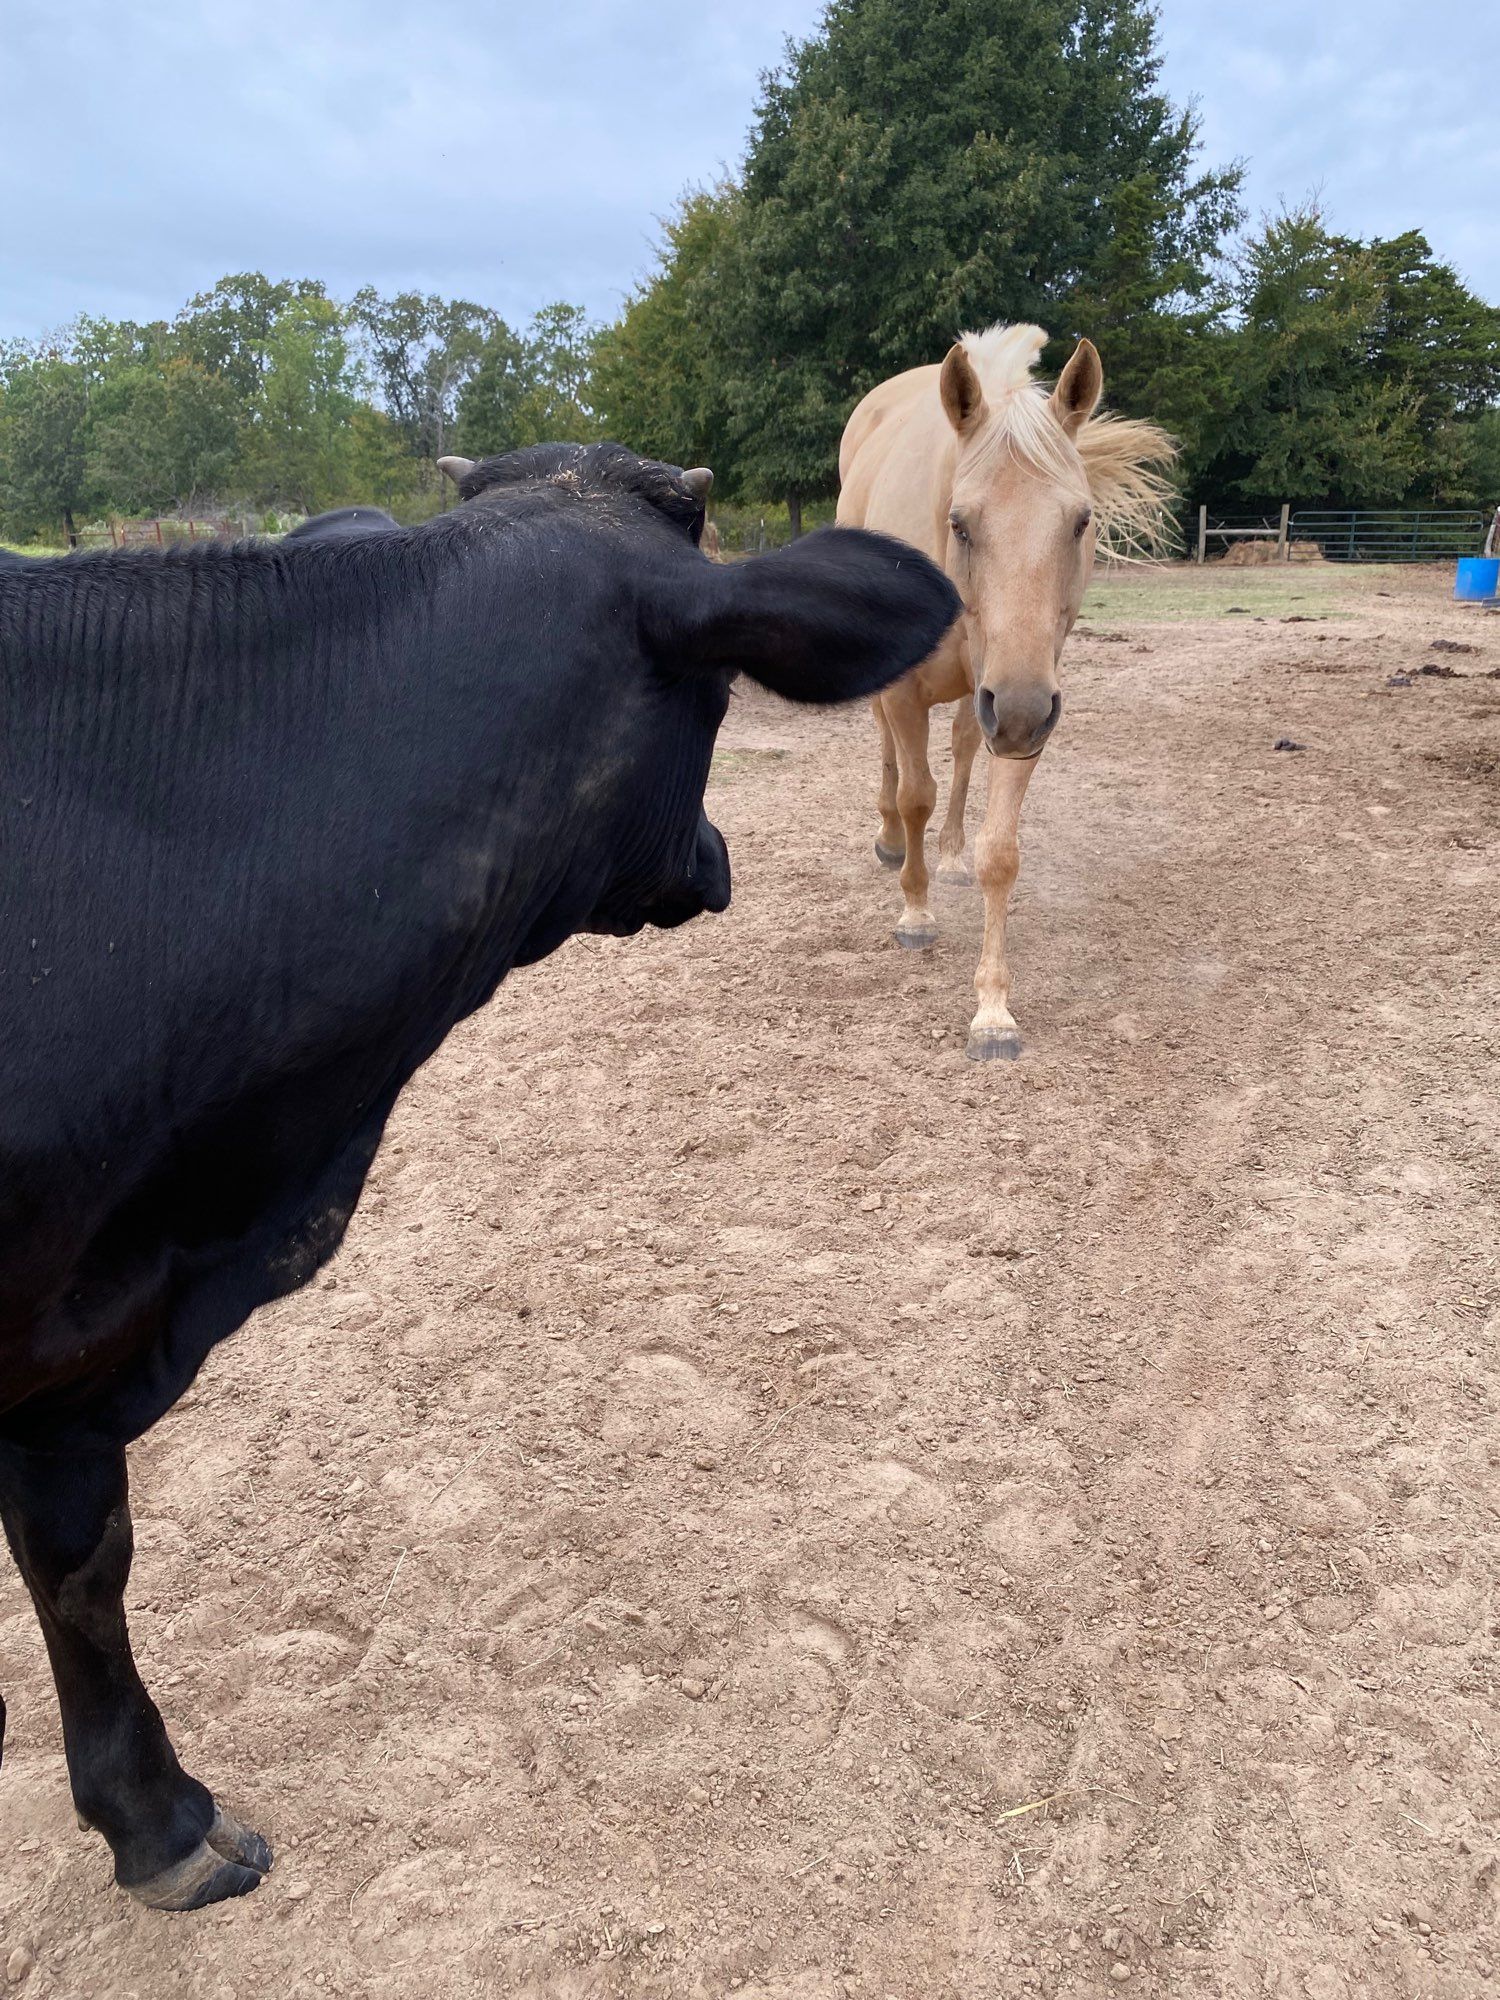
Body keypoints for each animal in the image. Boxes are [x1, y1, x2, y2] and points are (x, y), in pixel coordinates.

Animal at [840, 320, 1184, 1056]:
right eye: (959, 522)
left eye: (1081, 521)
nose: (1022, 710)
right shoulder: (912, 693)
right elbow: (914, 794)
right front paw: (916, 913)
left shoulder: (1018, 706)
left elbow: (1001, 850)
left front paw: (993, 1009)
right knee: (891, 761)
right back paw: (892, 843)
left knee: (965, 753)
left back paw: (950, 856)